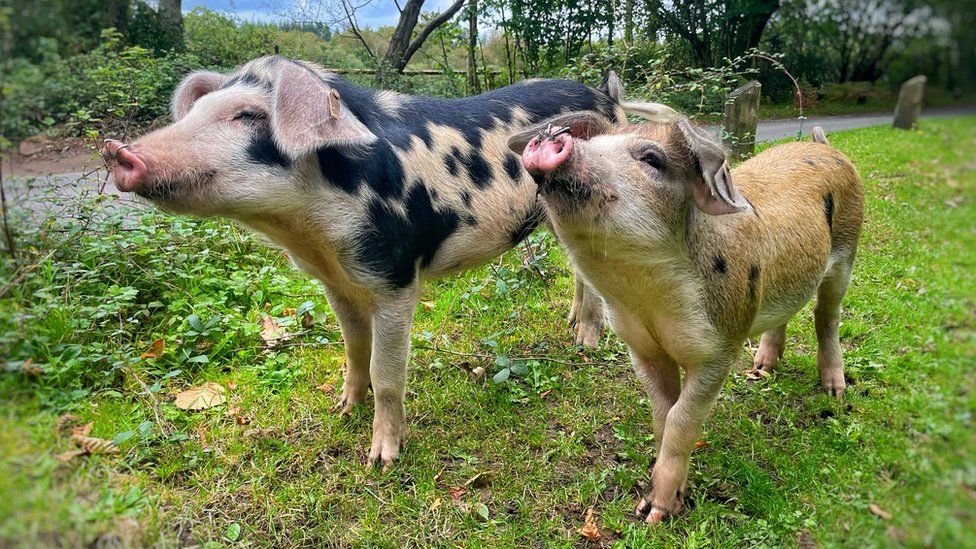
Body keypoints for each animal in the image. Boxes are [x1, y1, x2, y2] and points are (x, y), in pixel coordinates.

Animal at [101, 55, 680, 466]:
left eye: (248, 115)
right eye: (197, 112)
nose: (117, 150)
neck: (307, 233)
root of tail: (605, 96)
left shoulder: (397, 278)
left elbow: (386, 371)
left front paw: (381, 459)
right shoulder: (336, 281)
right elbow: (353, 349)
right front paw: (341, 409)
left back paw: (585, 344)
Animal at [508, 116, 864, 524]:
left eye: (652, 158)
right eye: (591, 142)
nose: (551, 135)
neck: (644, 296)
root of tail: (824, 147)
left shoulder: (721, 348)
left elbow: (681, 419)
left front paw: (655, 515)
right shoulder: (642, 349)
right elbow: (662, 414)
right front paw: (648, 506)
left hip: (847, 251)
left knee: (827, 316)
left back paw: (834, 391)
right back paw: (761, 370)